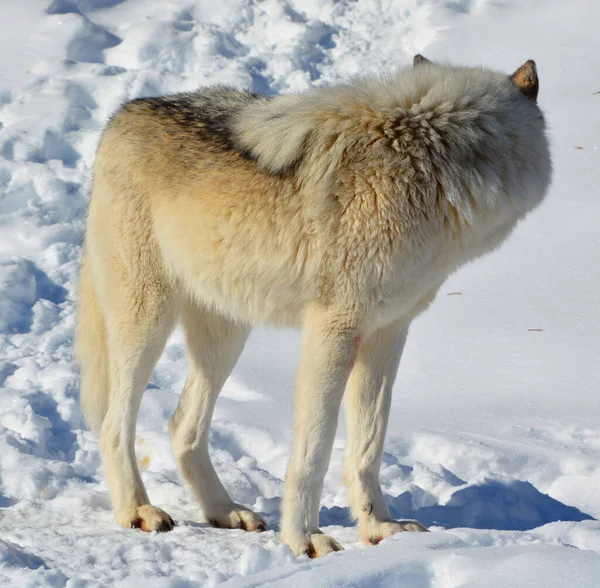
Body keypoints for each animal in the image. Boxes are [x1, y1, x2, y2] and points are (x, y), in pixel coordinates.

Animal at [77, 57, 552, 560]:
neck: (429, 165)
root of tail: (123, 115)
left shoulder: (388, 331)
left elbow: (368, 445)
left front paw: (379, 528)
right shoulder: (333, 329)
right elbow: (315, 449)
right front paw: (304, 538)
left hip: (226, 336)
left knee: (181, 426)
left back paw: (225, 511)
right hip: (147, 320)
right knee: (113, 425)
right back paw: (138, 510)